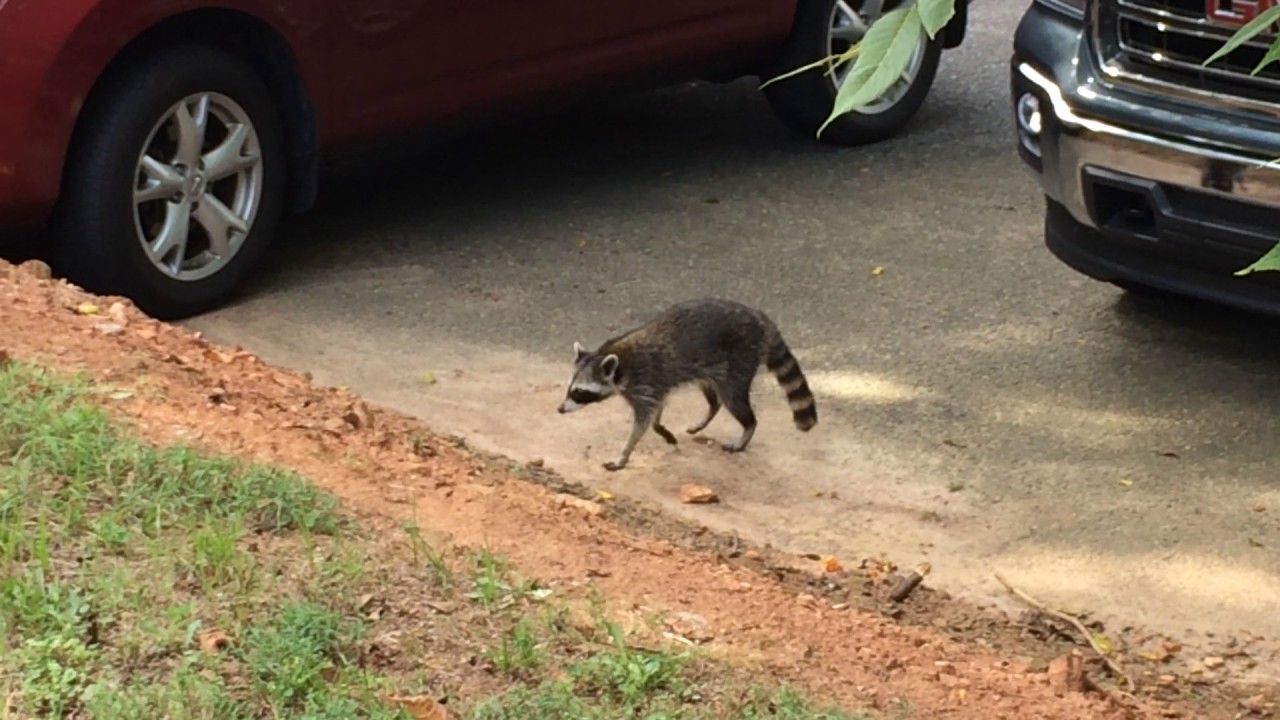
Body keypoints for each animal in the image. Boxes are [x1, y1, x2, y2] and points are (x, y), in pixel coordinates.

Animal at [557, 298, 818, 471]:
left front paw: (624, 454)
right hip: (712, 369)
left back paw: (748, 428)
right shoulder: (655, 385)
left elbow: (642, 423)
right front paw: (662, 430)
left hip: (740, 359)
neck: (618, 363)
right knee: (714, 398)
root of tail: (760, 319)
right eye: (570, 388)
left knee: (734, 400)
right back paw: (708, 415)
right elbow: (656, 412)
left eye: (579, 392)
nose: (560, 409)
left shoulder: (645, 382)